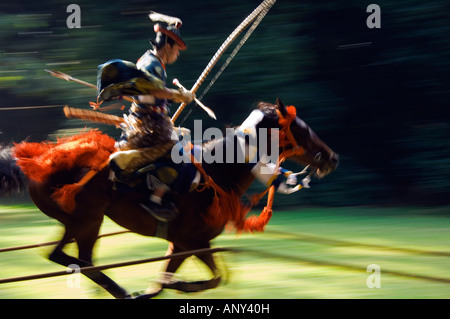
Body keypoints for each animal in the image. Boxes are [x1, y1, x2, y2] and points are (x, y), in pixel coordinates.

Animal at [0, 98, 338, 300]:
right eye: (301, 129)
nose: (332, 158)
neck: (218, 172)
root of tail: (37, 159)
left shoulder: (186, 244)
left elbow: (198, 278)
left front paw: (168, 286)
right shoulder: (191, 241)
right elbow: (209, 278)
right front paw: (179, 285)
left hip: (78, 221)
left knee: (70, 258)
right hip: (87, 219)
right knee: (74, 259)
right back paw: (120, 290)